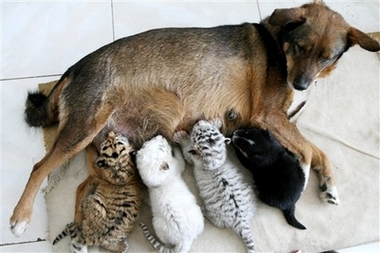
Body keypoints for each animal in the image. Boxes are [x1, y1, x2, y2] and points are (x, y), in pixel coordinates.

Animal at [10, 1, 378, 237]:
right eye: (300, 49)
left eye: (326, 57)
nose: (299, 84)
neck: (278, 46)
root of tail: (73, 69)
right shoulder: (270, 115)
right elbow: (312, 151)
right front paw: (314, 178)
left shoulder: (282, 120)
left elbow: (313, 149)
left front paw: (325, 181)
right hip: (83, 130)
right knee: (39, 168)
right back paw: (20, 217)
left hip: (100, 148)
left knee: (81, 186)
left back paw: (76, 222)